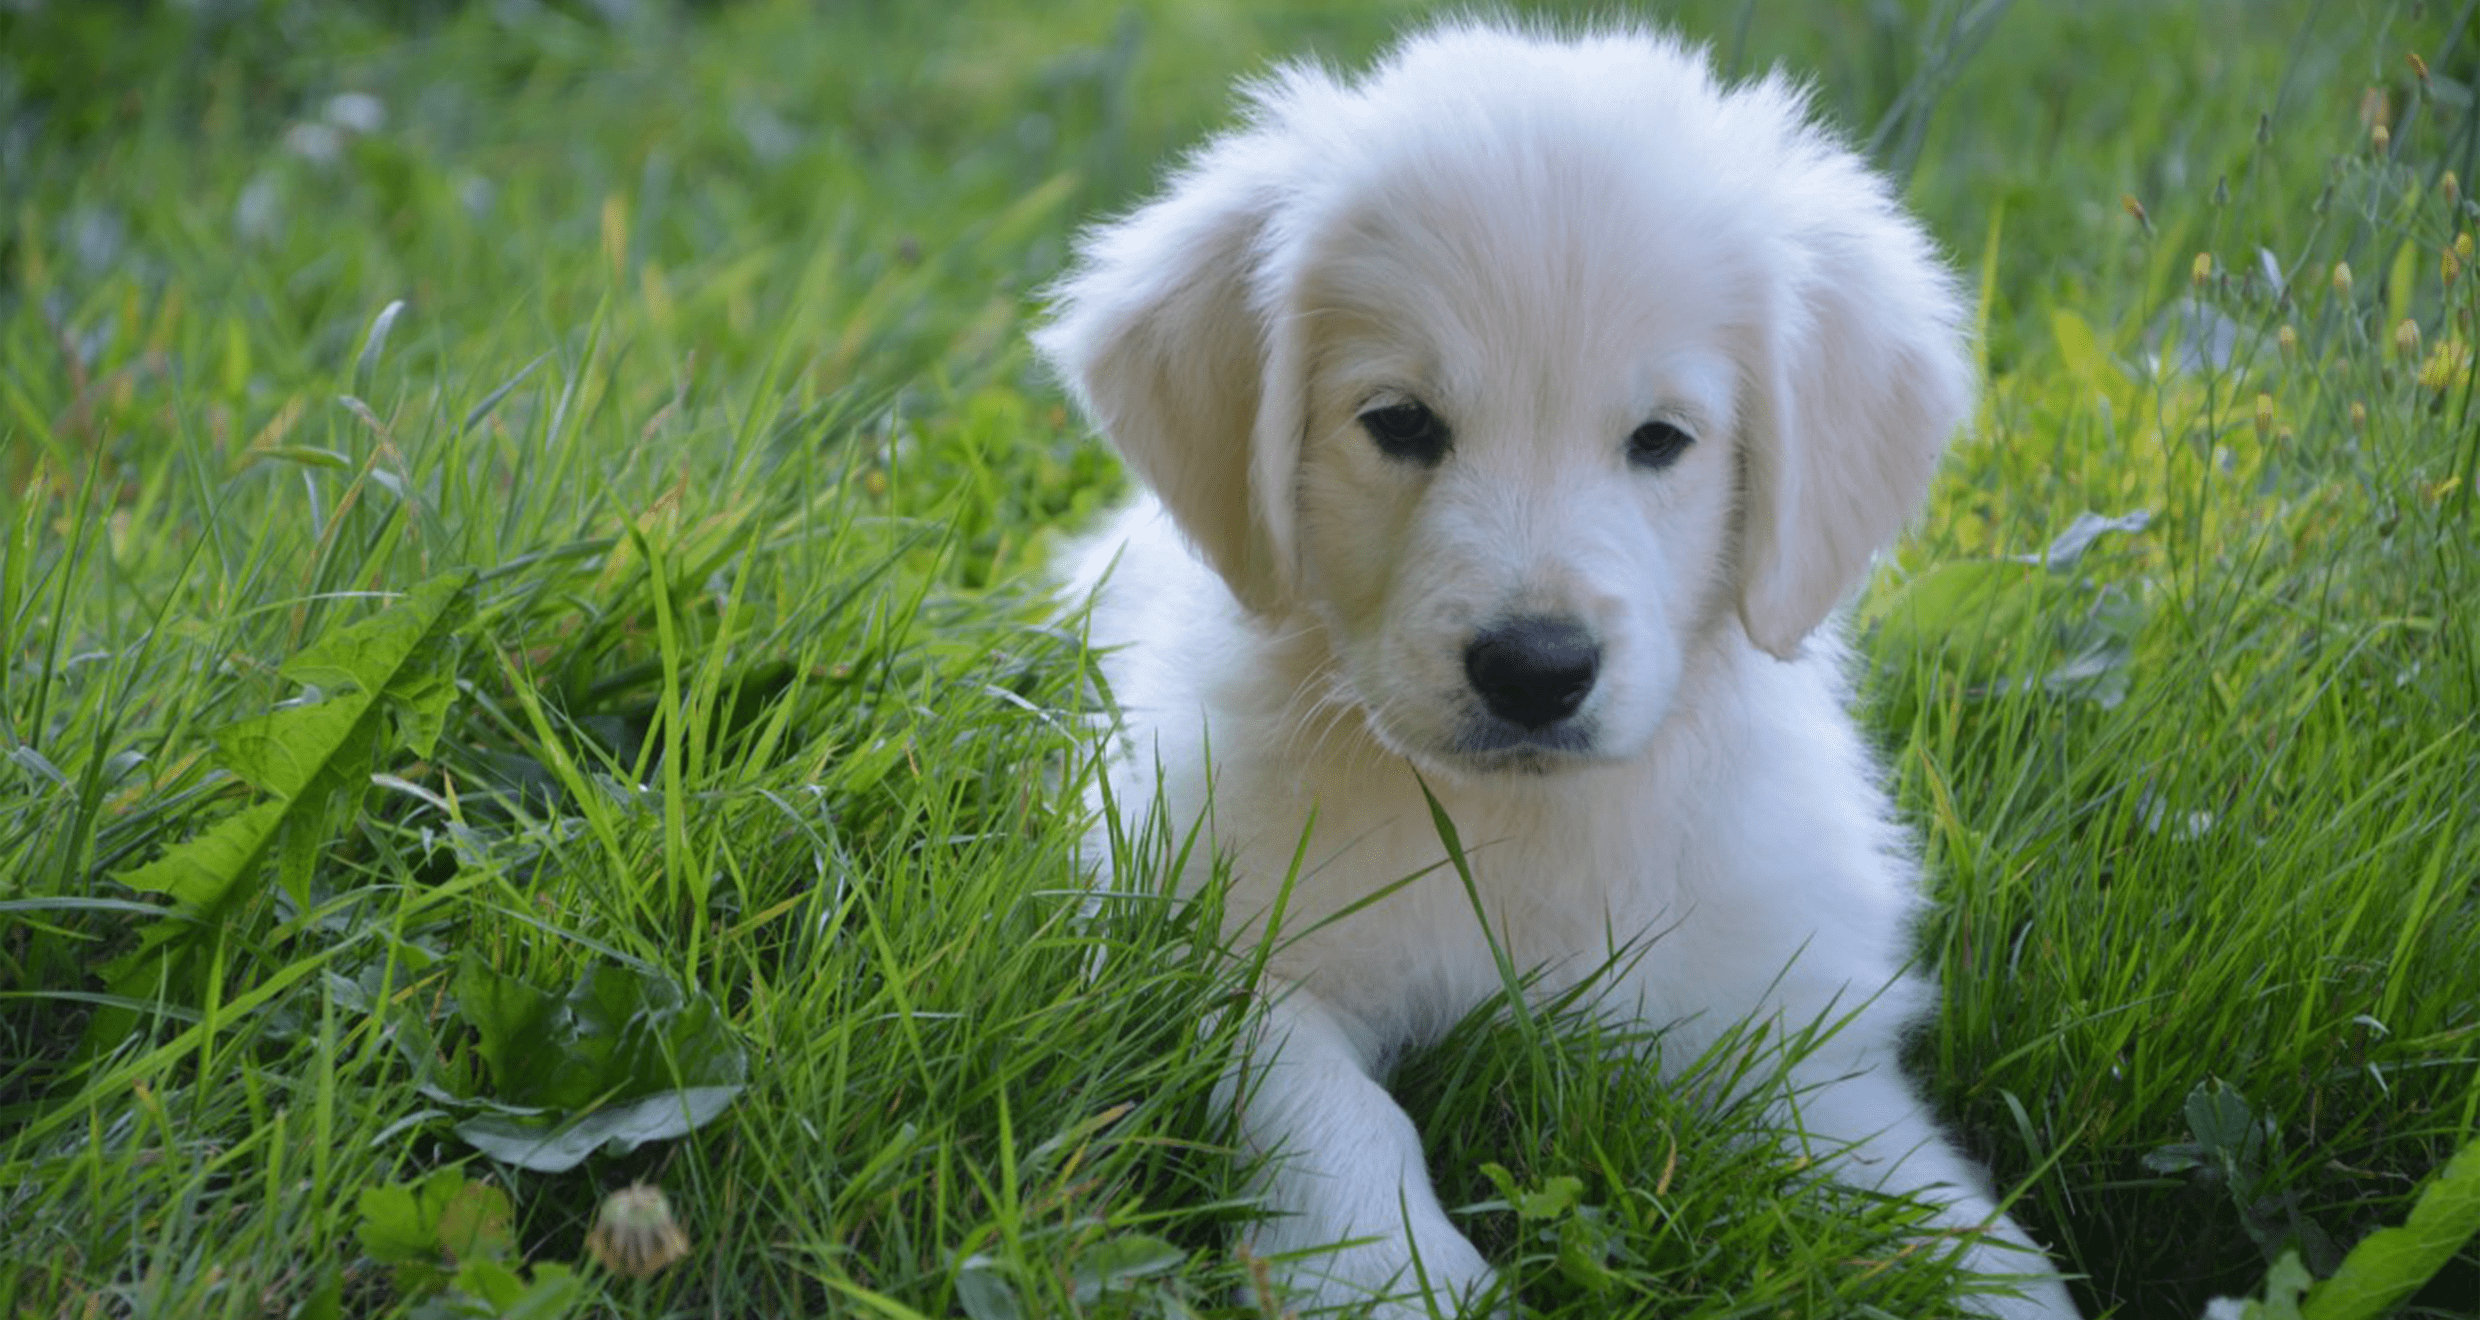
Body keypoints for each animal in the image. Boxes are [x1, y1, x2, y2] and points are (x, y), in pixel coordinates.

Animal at [1036, 20, 2083, 1320]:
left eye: (1660, 441)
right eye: (1399, 423)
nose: (1534, 671)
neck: (1516, 829)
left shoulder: (1785, 1019)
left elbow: (1923, 1200)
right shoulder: (1197, 930)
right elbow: (1332, 1107)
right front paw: (1392, 1274)